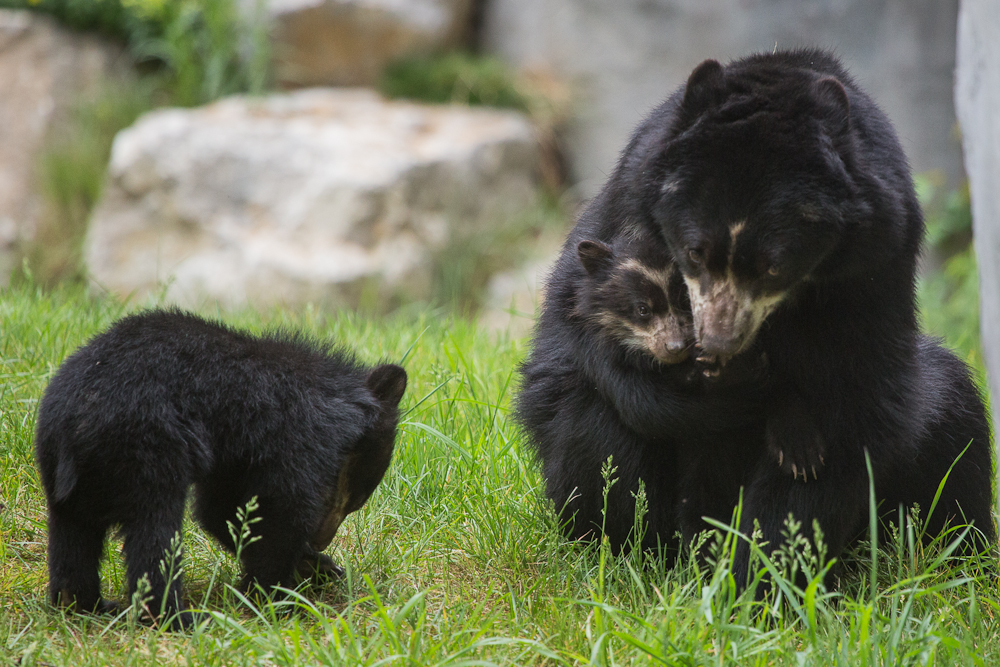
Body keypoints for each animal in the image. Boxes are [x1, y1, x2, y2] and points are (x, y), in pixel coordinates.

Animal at [34, 310, 406, 628]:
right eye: (353, 499)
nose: (323, 539)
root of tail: (76, 422)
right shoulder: (296, 437)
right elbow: (282, 510)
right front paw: (278, 597)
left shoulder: (232, 454)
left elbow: (222, 510)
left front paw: (318, 567)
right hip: (147, 452)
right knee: (155, 537)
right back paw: (178, 618)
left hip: (66, 471)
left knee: (73, 536)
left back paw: (83, 604)